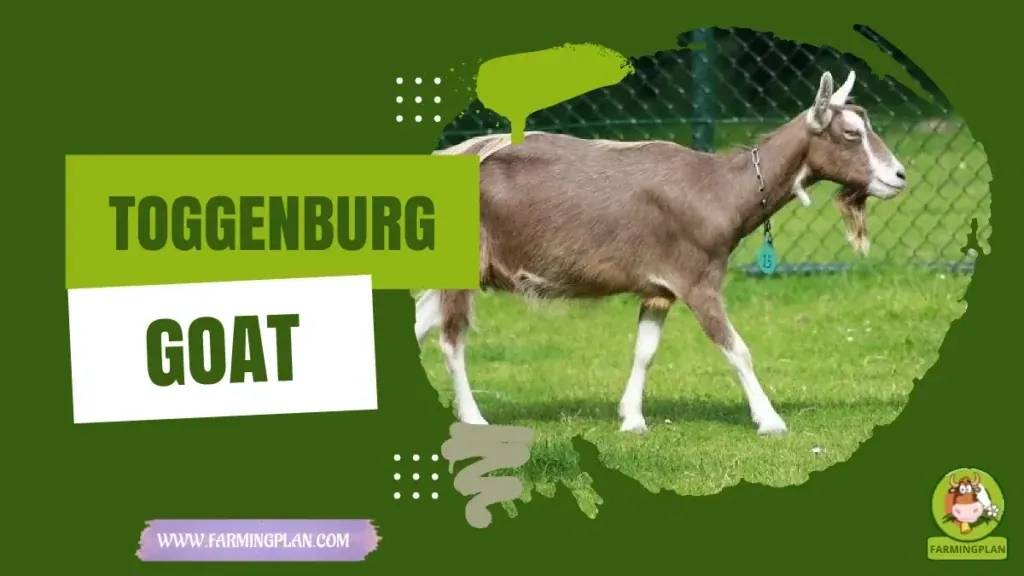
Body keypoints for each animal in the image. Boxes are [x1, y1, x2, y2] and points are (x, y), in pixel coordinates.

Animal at [417, 70, 908, 435]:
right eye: (850, 133)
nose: (899, 175)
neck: (720, 188)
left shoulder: (659, 287)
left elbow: (645, 350)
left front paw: (632, 420)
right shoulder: (698, 279)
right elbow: (736, 348)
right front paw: (770, 421)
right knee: (451, 339)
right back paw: (475, 419)